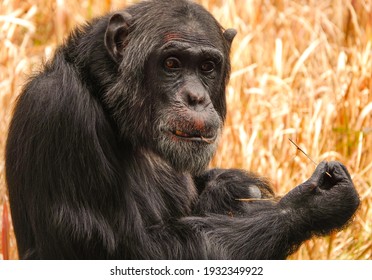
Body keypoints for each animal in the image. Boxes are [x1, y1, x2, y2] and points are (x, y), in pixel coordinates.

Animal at [6, 0, 360, 260]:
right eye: (172, 63)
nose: (196, 97)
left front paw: (232, 186)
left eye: (207, 67)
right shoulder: (61, 112)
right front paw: (310, 203)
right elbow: (137, 251)